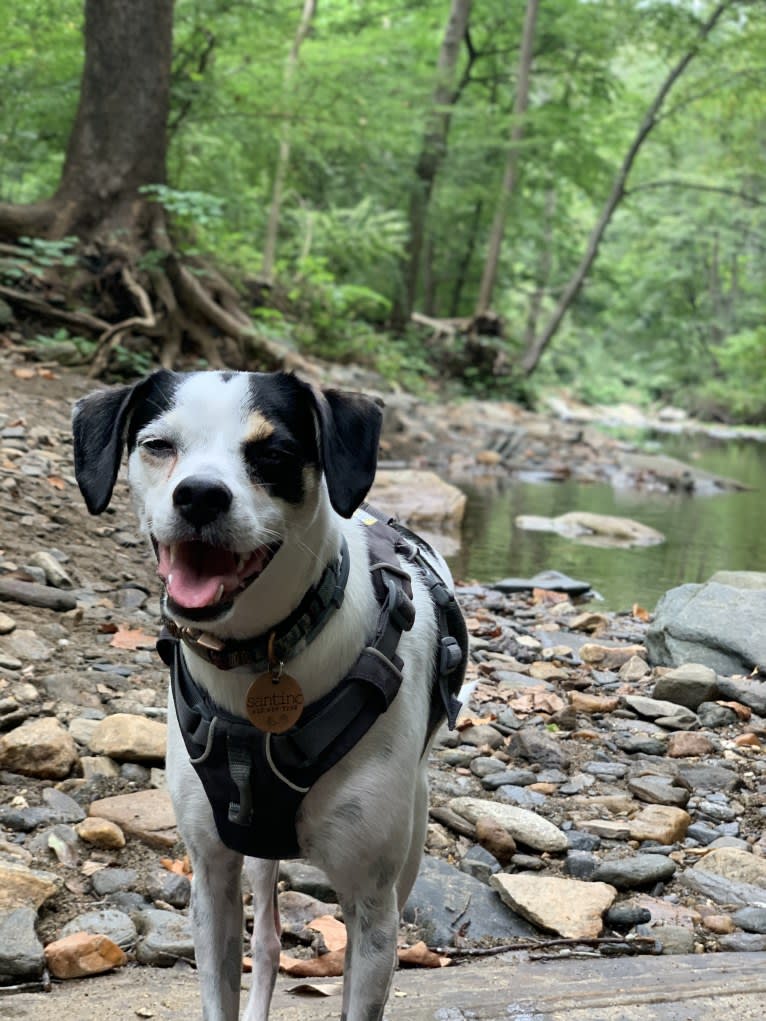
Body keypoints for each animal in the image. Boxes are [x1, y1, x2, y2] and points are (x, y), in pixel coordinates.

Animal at [73, 371, 467, 1021]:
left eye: (275, 453)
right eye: (157, 445)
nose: (200, 495)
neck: (262, 651)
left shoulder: (371, 901)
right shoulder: (212, 876)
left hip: (408, 834)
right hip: (256, 851)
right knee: (270, 938)